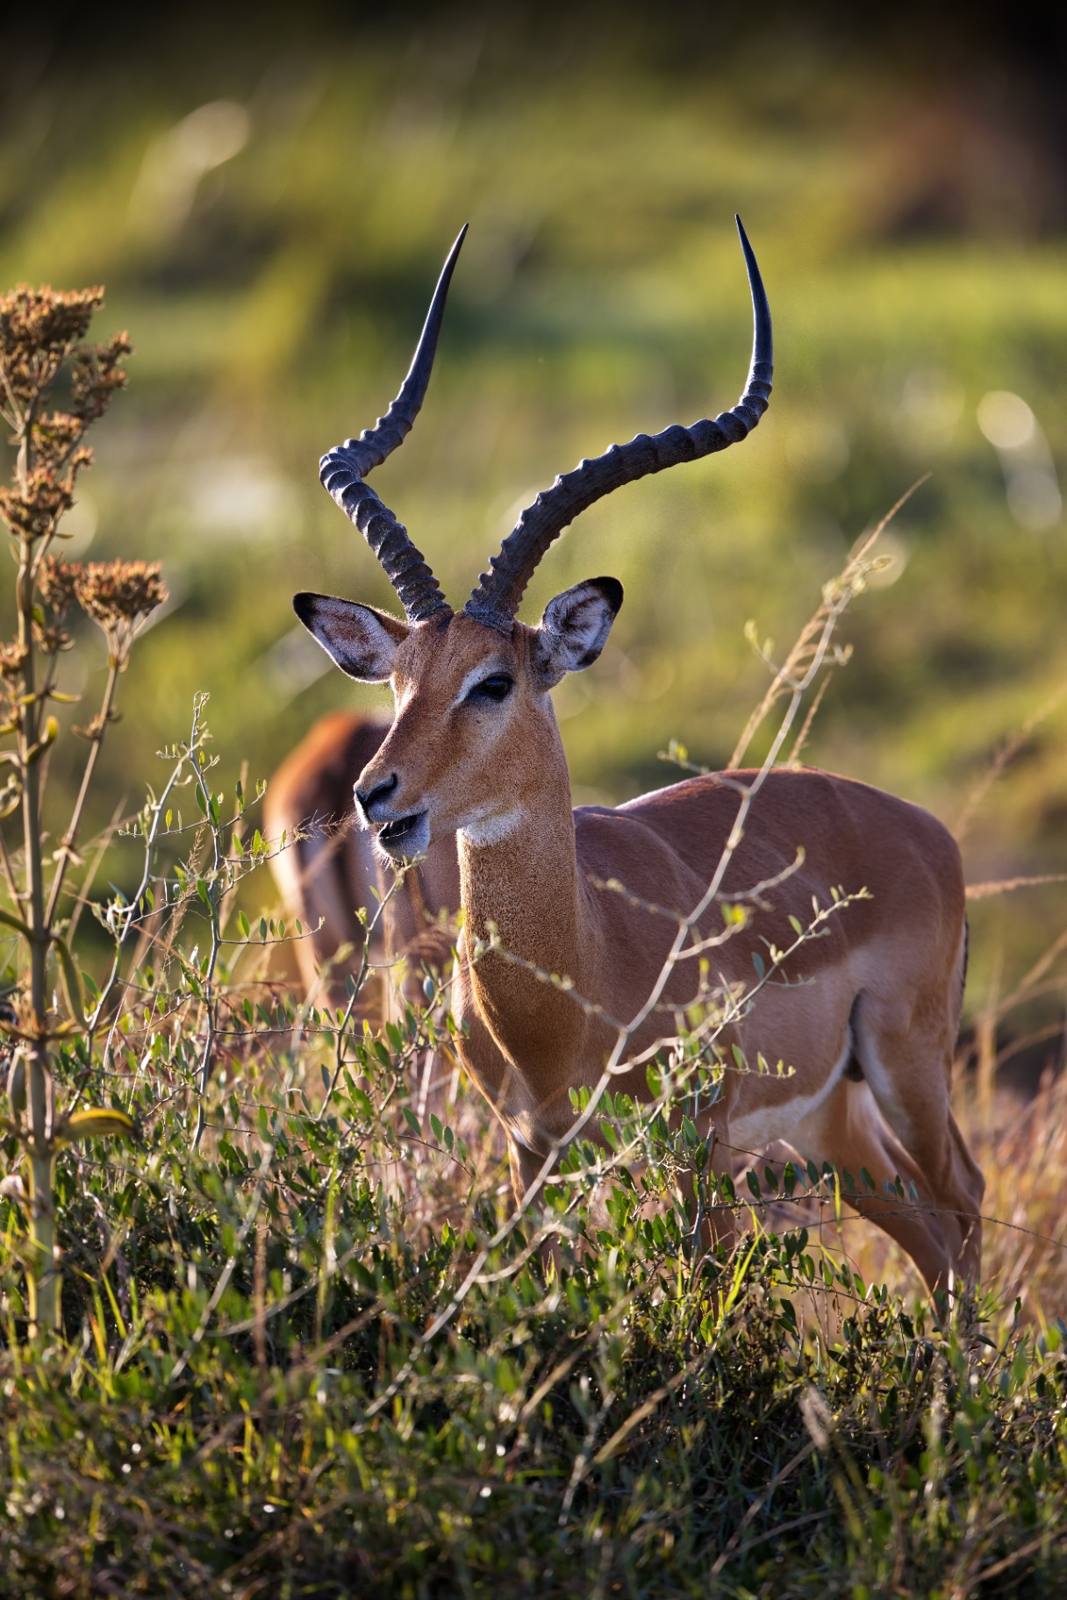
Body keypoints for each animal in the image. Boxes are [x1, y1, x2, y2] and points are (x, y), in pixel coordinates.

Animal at [291, 220, 985, 1293]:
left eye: (495, 682)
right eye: (397, 682)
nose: (378, 798)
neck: (575, 976)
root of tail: (922, 831)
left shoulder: (696, 1149)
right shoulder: (530, 1150)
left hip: (903, 1071)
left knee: (965, 1204)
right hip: (832, 1122)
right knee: (930, 1232)